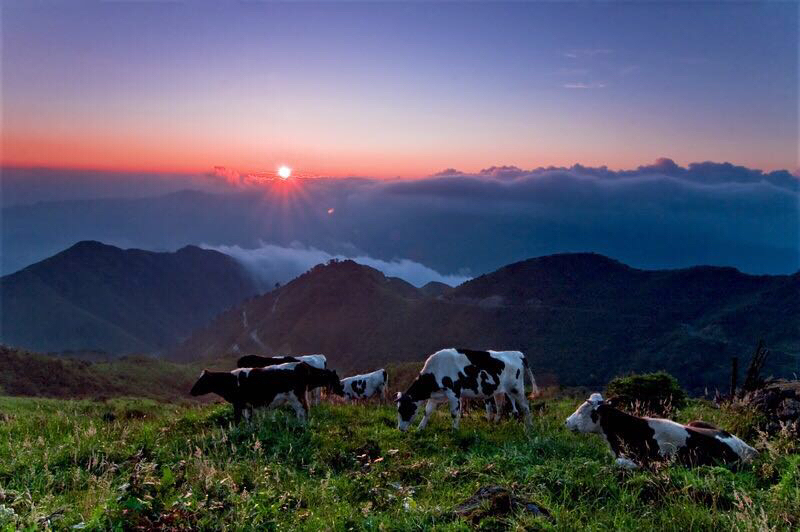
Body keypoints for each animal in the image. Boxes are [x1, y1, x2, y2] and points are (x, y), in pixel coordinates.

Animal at [192, 362, 342, 424]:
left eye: (201, 381)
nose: (191, 391)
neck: (231, 380)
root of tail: (302, 365)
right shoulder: (247, 405)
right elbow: (248, 420)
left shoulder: (238, 403)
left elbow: (237, 419)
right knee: (302, 411)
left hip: (296, 396)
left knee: (303, 410)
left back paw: (302, 426)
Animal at [392, 350, 532, 432]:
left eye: (405, 409)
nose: (400, 429)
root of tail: (517, 353)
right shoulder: (436, 396)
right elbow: (427, 411)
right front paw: (420, 428)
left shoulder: (454, 393)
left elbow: (454, 413)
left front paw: (455, 431)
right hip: (499, 391)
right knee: (500, 407)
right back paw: (495, 425)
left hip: (516, 388)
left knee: (525, 407)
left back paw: (529, 428)